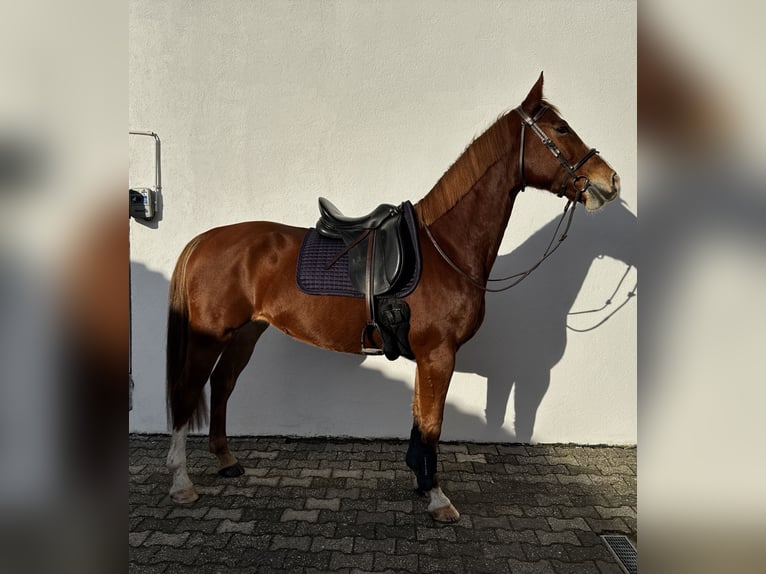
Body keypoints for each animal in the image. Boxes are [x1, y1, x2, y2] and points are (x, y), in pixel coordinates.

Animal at [165, 73, 620, 522]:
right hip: (210, 337)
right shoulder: (439, 355)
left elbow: (420, 420)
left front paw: (421, 481)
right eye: (561, 129)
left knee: (222, 385)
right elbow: (433, 425)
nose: (610, 181)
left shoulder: (428, 357)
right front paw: (437, 498)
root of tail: (205, 239)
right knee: (188, 391)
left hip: (246, 333)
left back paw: (227, 461)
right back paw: (182, 483)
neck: (445, 248)